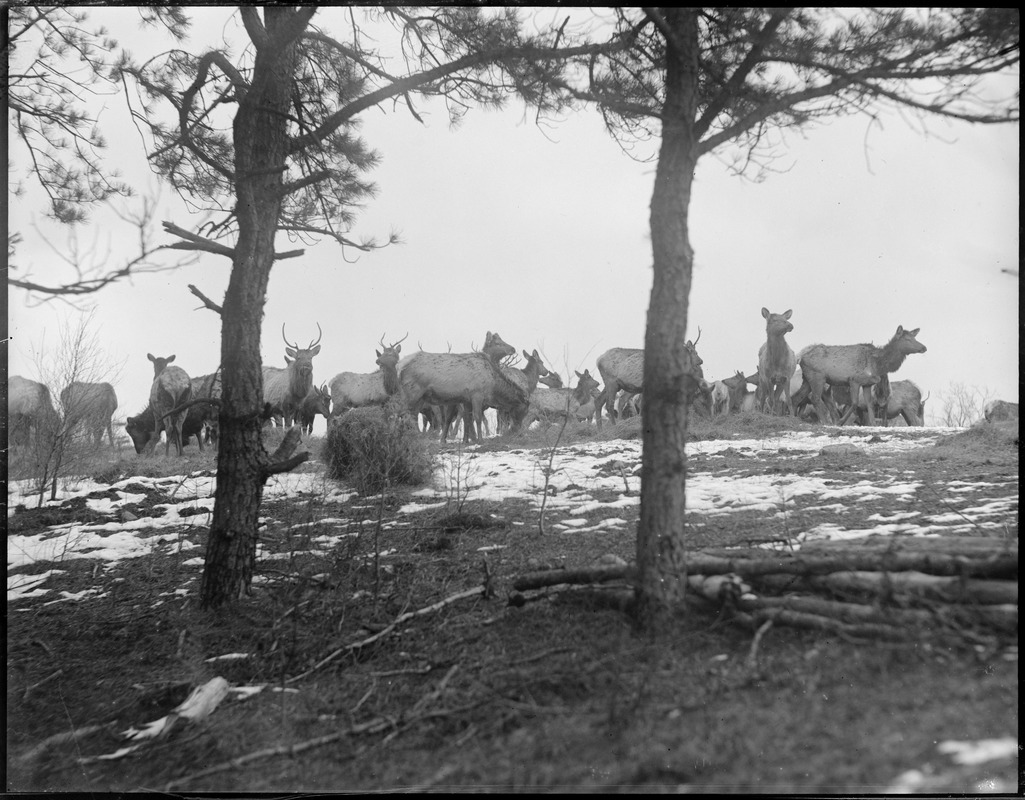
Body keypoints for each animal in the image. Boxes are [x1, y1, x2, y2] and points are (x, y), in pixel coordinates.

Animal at [791, 324, 930, 424]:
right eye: (907, 339)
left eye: (915, 337)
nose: (924, 347)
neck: (877, 365)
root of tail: (800, 357)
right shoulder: (854, 380)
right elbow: (854, 403)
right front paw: (840, 422)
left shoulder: (867, 384)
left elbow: (869, 405)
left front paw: (873, 424)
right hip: (818, 377)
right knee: (815, 398)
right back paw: (825, 422)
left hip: (807, 378)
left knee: (797, 397)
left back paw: (793, 417)